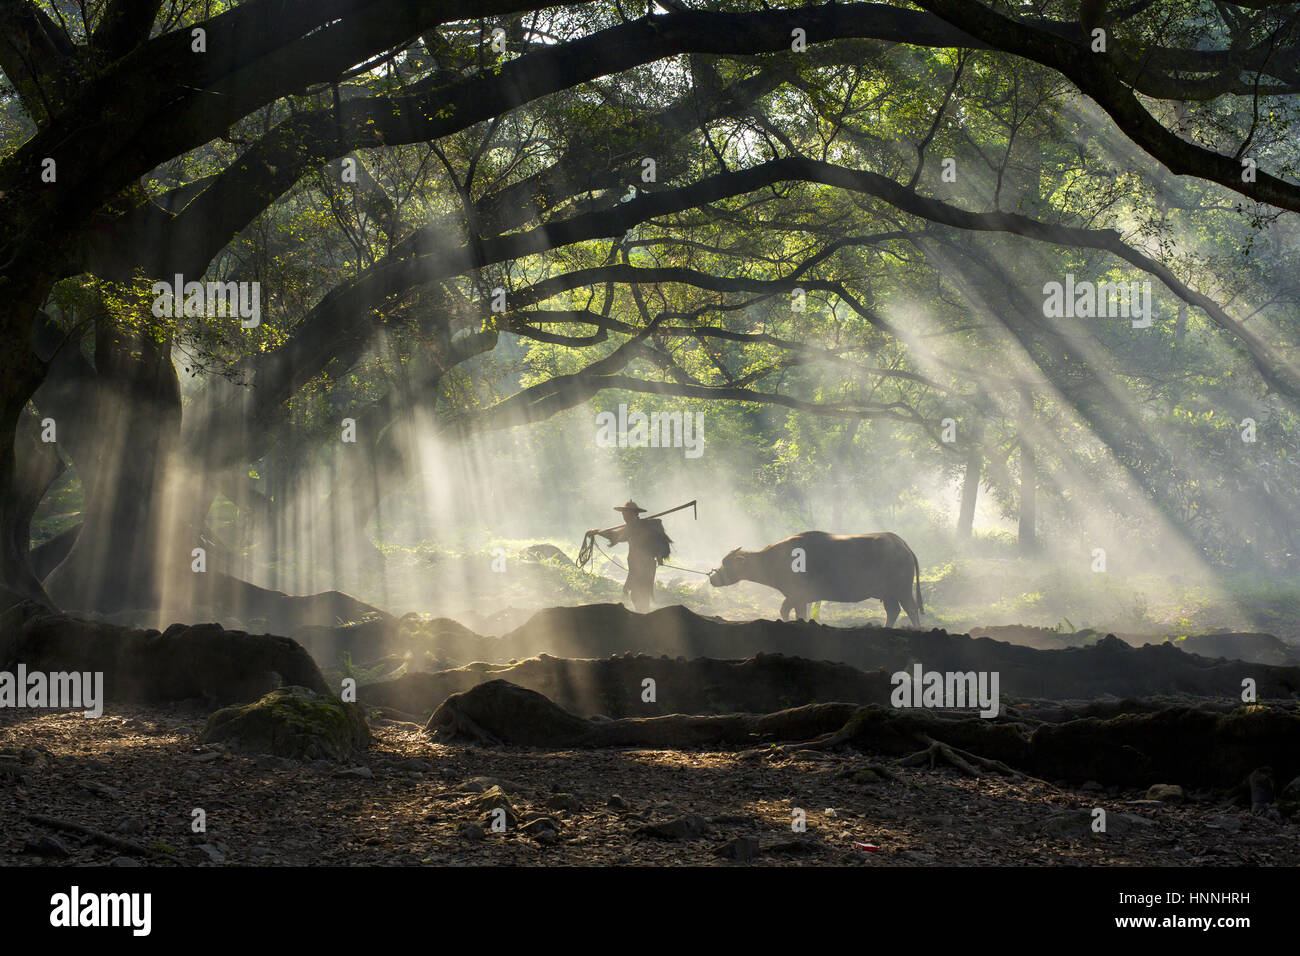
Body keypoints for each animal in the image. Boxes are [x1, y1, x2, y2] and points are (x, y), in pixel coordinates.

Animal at [712, 530, 925, 629]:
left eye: (726, 563)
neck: (773, 559)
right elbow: (795, 612)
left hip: (902, 589)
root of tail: (901, 543)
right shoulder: (800, 598)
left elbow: (786, 610)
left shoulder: (796, 595)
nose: (713, 578)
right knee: (893, 610)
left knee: (911, 609)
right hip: (888, 593)